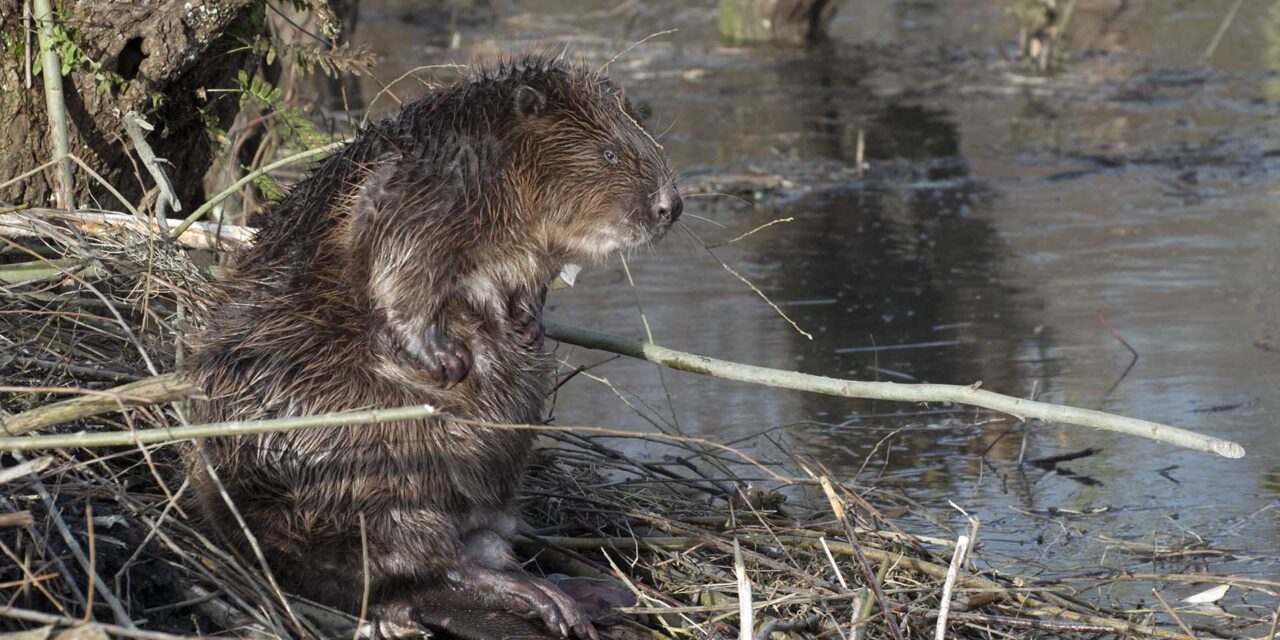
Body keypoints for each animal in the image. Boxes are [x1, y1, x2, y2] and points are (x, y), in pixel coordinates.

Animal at [183, 56, 680, 640]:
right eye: (609, 154)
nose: (671, 206)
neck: (496, 151)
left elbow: (527, 285)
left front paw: (528, 327)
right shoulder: (424, 182)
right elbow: (393, 265)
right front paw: (446, 360)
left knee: (475, 550)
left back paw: (586, 592)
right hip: (370, 477)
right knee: (431, 561)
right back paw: (552, 603)